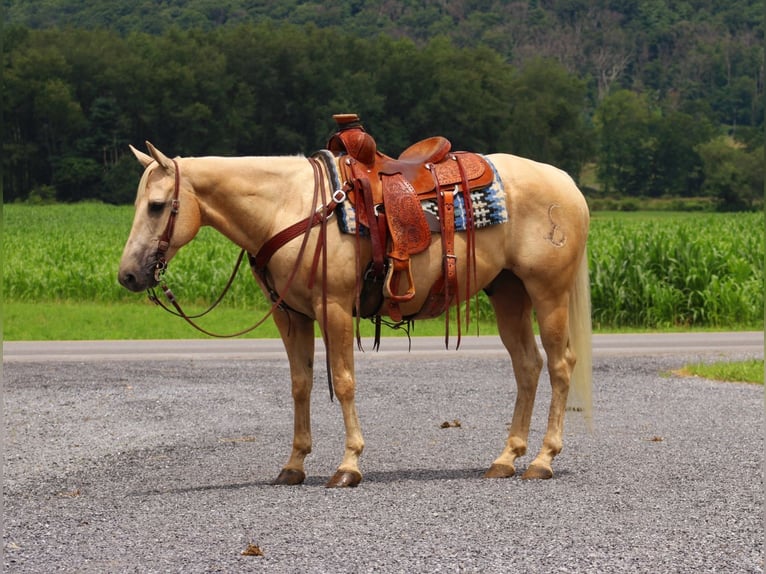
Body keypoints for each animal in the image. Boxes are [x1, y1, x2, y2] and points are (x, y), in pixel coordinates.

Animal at [117, 142, 592, 488]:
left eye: (156, 205)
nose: (128, 275)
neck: (288, 207)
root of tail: (567, 184)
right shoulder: (290, 315)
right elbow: (301, 385)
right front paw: (293, 465)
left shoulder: (334, 308)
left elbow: (343, 382)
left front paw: (348, 466)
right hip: (509, 292)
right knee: (528, 365)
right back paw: (506, 458)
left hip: (547, 292)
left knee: (560, 365)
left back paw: (543, 460)